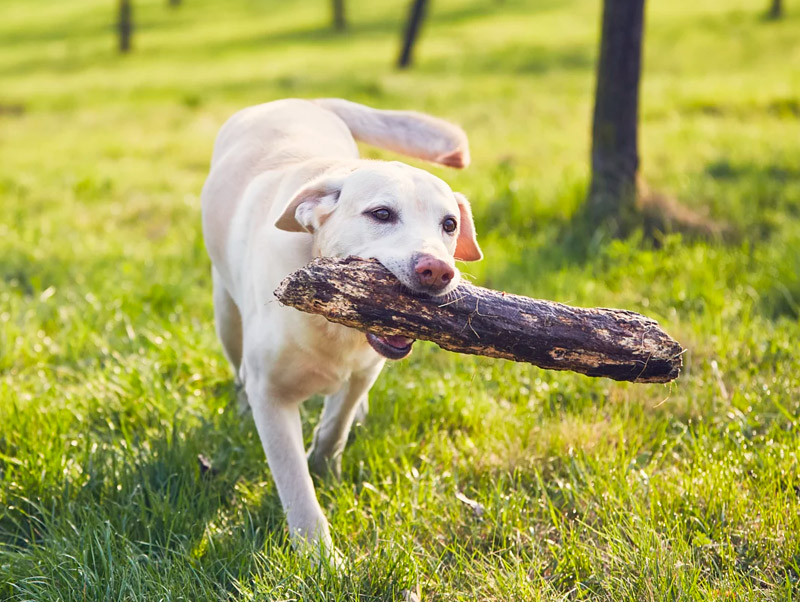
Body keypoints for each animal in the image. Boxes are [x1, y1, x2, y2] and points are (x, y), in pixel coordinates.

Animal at [203, 99, 484, 556]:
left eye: (449, 224)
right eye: (381, 214)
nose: (438, 270)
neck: (333, 324)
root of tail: (303, 101)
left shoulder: (363, 371)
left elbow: (335, 427)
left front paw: (324, 465)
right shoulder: (271, 395)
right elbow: (295, 485)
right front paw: (319, 557)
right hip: (226, 316)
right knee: (237, 367)